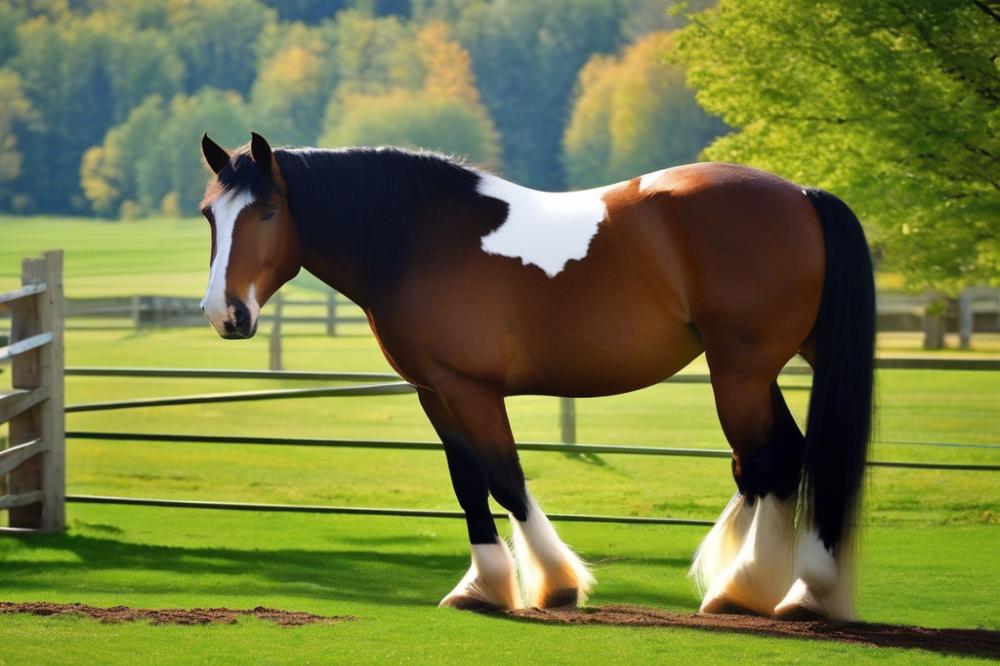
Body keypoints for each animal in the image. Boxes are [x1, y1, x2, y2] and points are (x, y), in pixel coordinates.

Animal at [199, 132, 872, 620]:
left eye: (268, 211)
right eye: (209, 214)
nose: (225, 314)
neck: (420, 240)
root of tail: (801, 194)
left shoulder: (470, 388)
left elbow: (504, 477)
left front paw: (553, 583)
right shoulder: (435, 392)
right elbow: (467, 482)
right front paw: (482, 587)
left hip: (739, 370)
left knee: (772, 461)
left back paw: (763, 590)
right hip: (765, 367)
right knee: (782, 460)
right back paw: (773, 589)